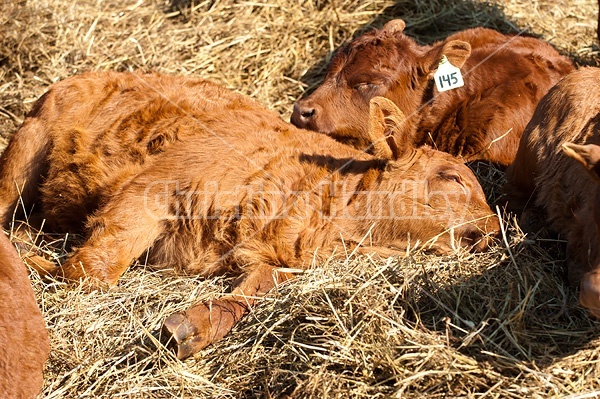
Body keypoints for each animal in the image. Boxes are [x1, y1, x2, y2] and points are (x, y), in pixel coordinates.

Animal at [0, 71, 500, 360]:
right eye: (453, 177)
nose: (494, 231)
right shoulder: (150, 190)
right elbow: (91, 272)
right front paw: (34, 265)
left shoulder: (270, 261)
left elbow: (249, 295)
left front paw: (187, 328)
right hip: (28, 144)